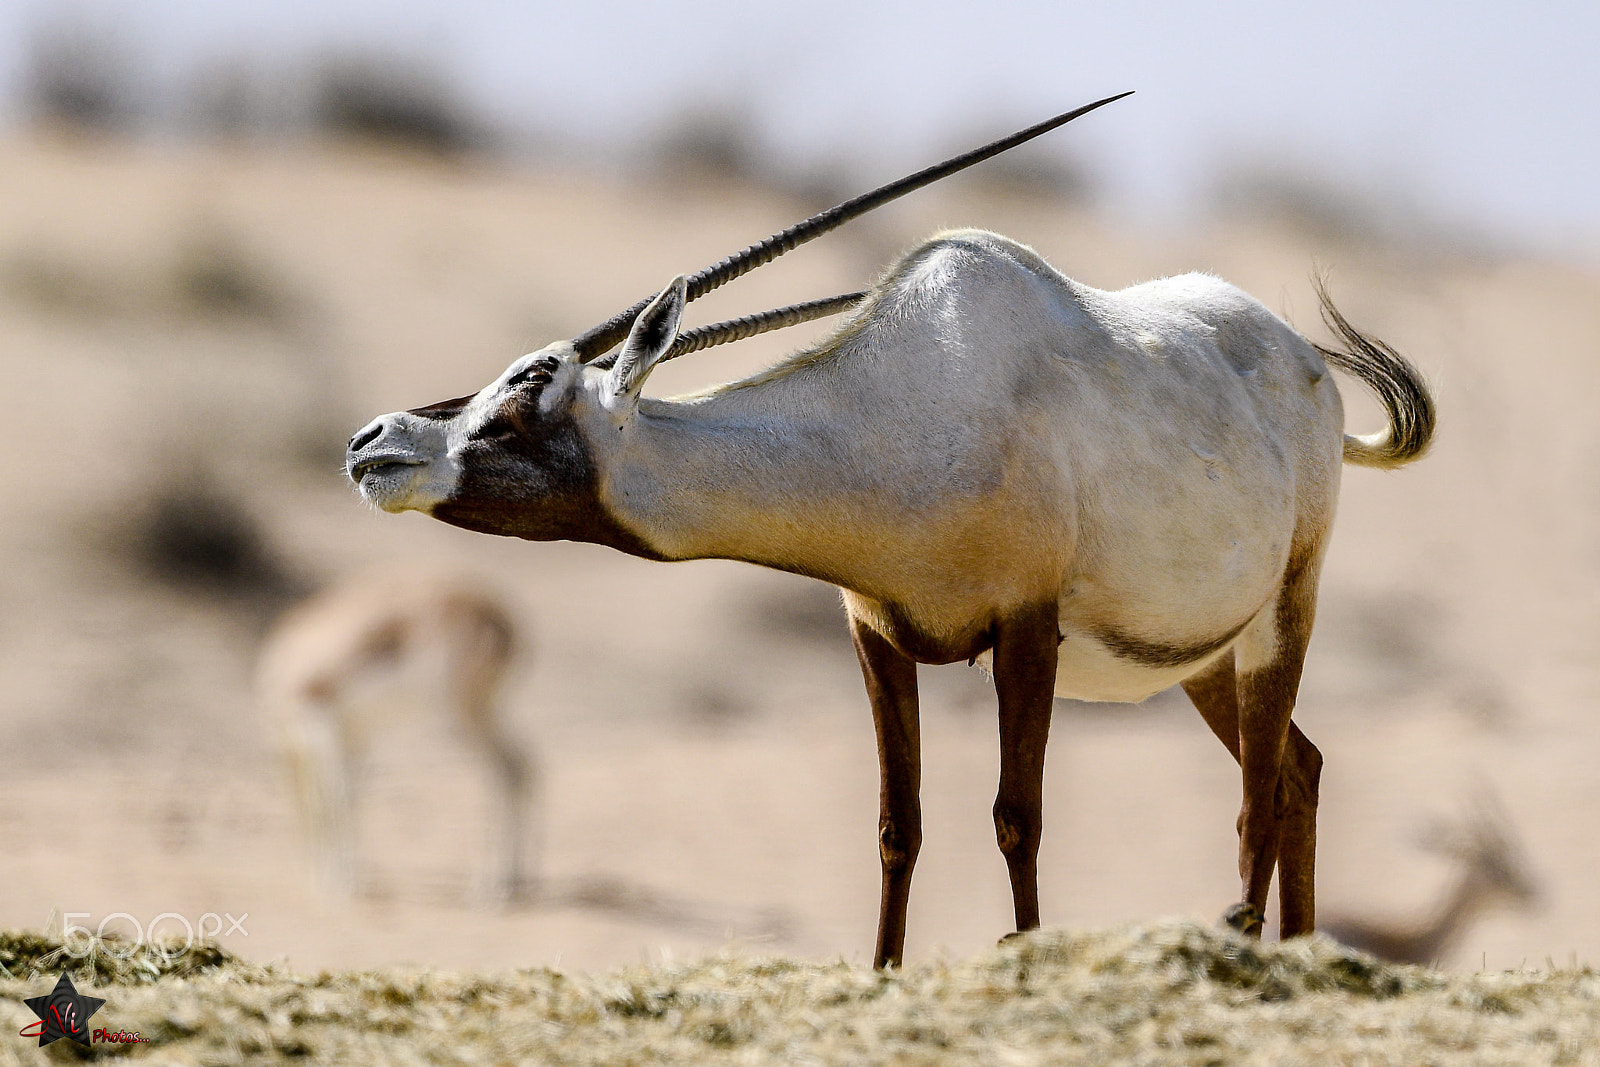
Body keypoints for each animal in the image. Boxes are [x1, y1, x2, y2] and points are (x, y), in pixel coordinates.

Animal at [252, 572, 534, 908]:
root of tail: (498, 614)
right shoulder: (353, 738)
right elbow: (347, 799)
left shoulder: (322, 728)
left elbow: (332, 802)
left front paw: (342, 884)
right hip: (488, 711)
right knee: (523, 763)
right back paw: (511, 883)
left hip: (462, 716)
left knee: (505, 769)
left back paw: (491, 890)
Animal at [340, 93, 1440, 966]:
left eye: (531, 385)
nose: (371, 442)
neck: (898, 407)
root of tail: (1304, 365)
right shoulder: (875, 630)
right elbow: (895, 826)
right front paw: (882, 970)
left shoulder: (1026, 629)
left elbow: (1016, 816)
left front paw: (1022, 953)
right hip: (1207, 656)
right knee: (1297, 766)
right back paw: (1302, 951)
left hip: (1284, 614)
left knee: (1259, 792)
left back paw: (1253, 948)